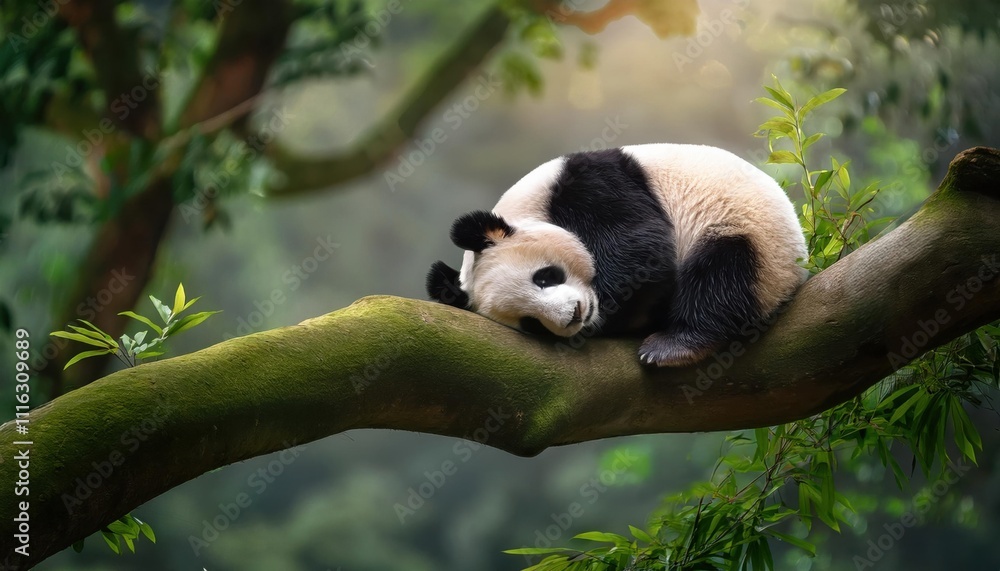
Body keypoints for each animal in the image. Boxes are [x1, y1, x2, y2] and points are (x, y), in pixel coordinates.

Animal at [426, 143, 808, 367]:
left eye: (545, 276)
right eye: (530, 323)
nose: (575, 315)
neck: (527, 207)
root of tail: (794, 279)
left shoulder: (588, 186)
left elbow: (641, 247)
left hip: (749, 233)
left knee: (723, 274)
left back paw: (674, 346)